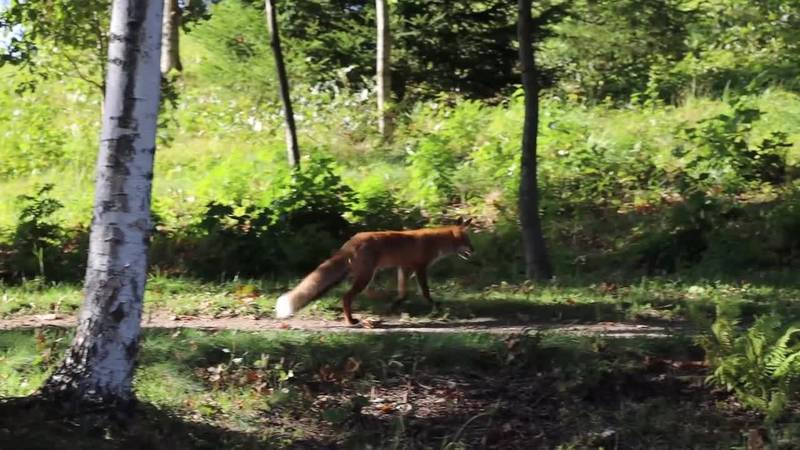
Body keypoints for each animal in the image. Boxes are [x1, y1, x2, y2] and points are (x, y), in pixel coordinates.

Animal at [274, 219, 474, 325]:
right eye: (467, 241)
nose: (473, 251)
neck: (436, 241)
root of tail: (351, 241)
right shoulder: (420, 268)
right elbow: (425, 293)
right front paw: (437, 307)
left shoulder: (404, 268)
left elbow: (403, 293)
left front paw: (393, 307)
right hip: (366, 276)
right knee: (347, 297)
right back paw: (351, 320)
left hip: (362, 275)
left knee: (357, 294)